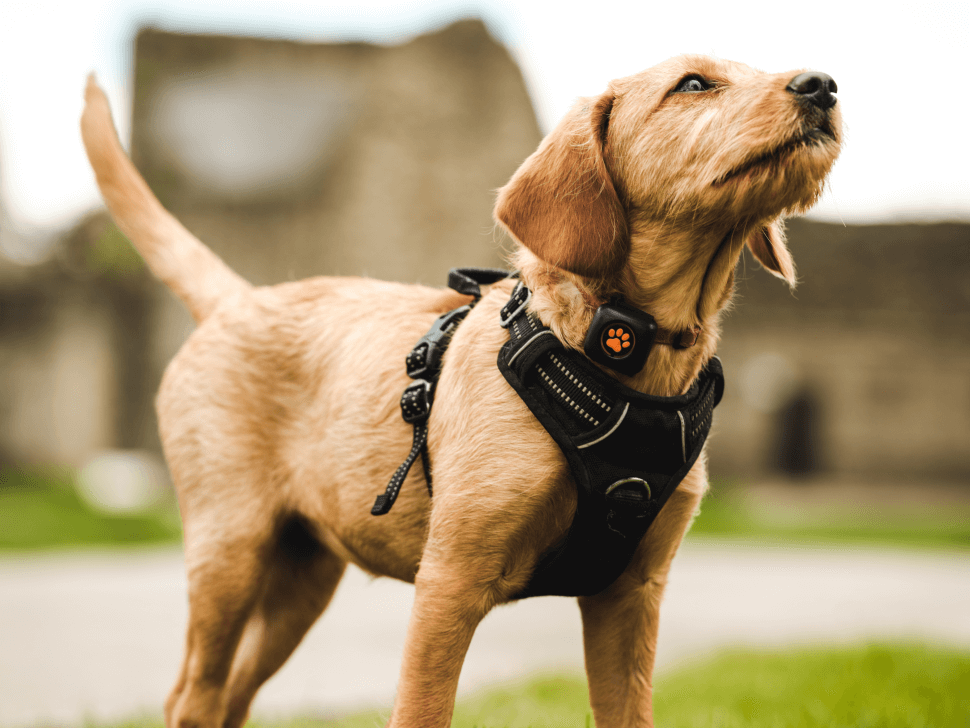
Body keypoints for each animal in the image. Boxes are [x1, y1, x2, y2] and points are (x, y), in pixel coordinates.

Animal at [83, 54, 840, 724]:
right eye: (693, 84)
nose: (823, 84)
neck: (618, 355)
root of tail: (236, 299)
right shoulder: (449, 582)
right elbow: (422, 712)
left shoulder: (630, 595)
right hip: (229, 552)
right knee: (194, 697)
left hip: (301, 579)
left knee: (230, 699)